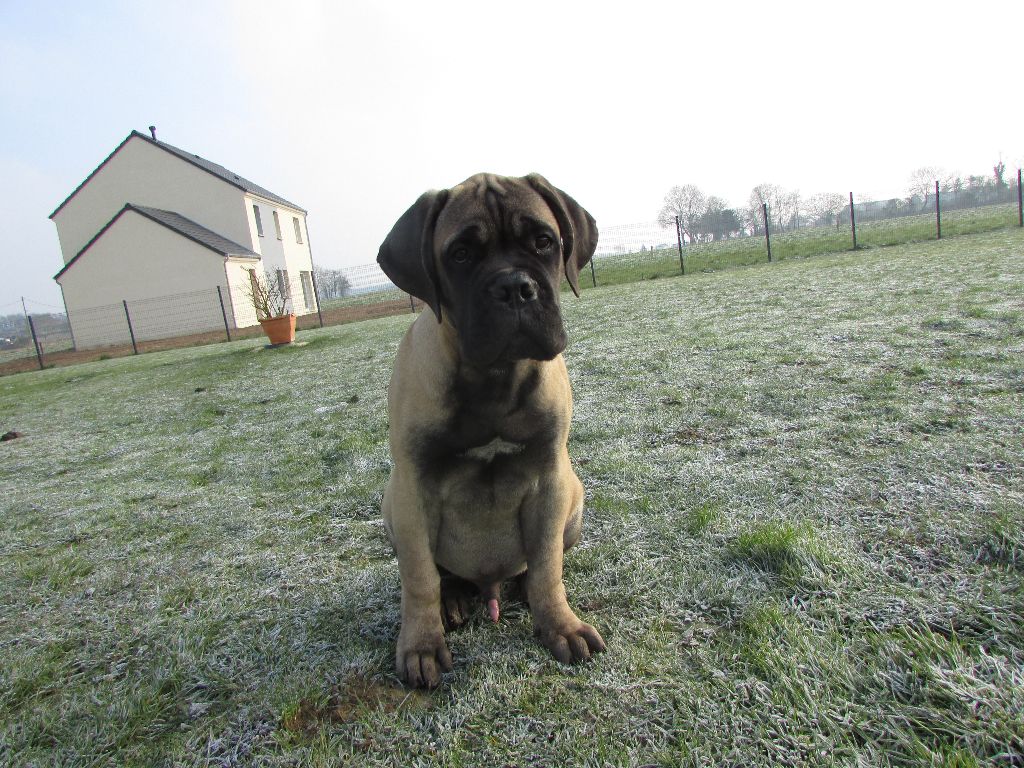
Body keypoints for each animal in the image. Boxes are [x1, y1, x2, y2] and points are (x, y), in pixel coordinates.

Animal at [376, 172, 605, 688]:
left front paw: (560, 626)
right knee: (440, 575)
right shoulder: (412, 487)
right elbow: (419, 576)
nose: (514, 286)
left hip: (575, 496)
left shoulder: (549, 478)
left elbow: (547, 566)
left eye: (544, 242)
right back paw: (454, 600)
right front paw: (421, 646)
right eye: (461, 253)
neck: (495, 377)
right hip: (391, 506)